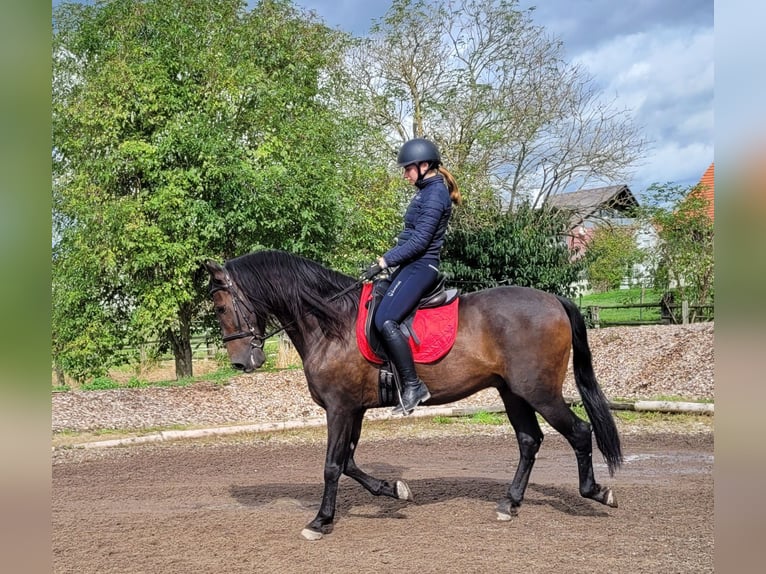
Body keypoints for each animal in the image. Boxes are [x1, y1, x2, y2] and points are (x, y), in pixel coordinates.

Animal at [204, 250, 624, 544]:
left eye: (221, 306)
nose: (242, 362)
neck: (332, 324)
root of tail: (554, 301)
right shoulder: (355, 409)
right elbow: (349, 461)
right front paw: (394, 490)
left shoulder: (339, 408)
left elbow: (332, 465)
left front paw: (320, 521)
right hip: (513, 393)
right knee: (529, 440)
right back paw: (510, 503)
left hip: (539, 391)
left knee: (578, 432)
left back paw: (597, 493)